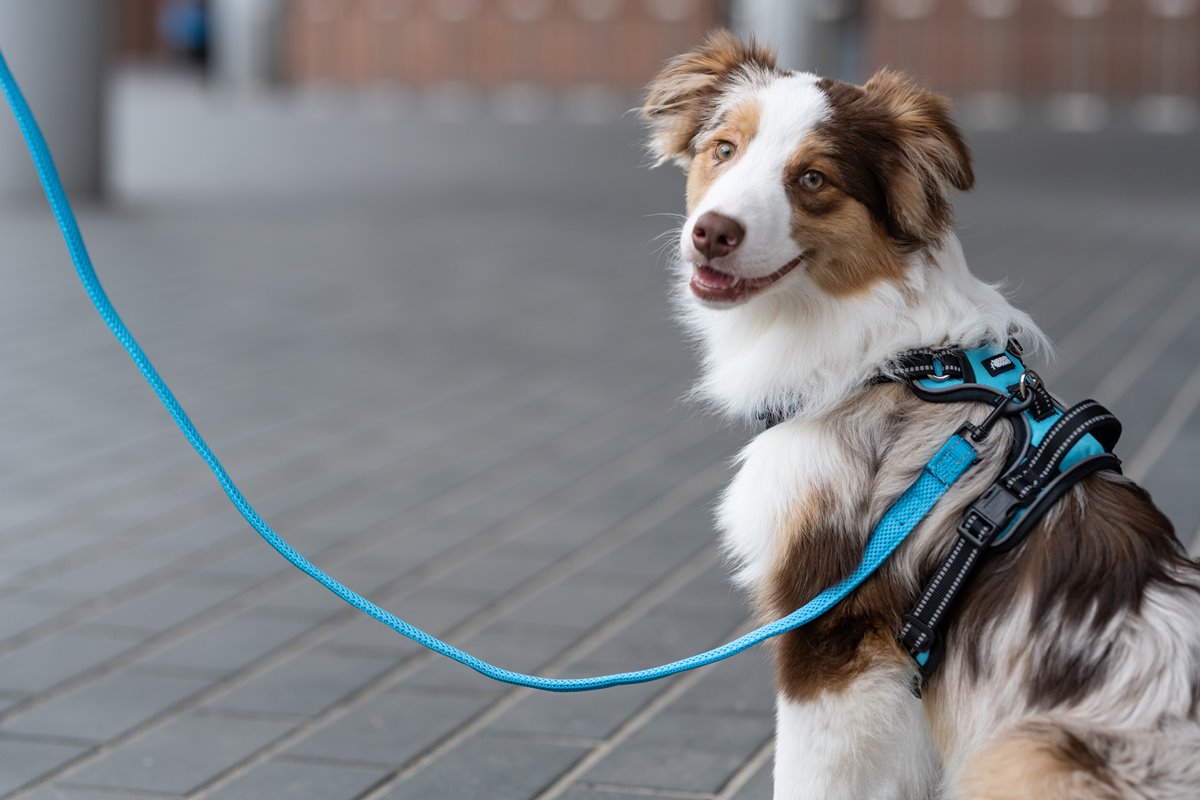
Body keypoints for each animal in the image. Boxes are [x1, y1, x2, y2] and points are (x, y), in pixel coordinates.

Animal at [643, 31, 1200, 800]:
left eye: (812, 179)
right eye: (723, 149)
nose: (711, 234)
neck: (893, 361)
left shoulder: (834, 631)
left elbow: (807, 778)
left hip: (1023, 751)